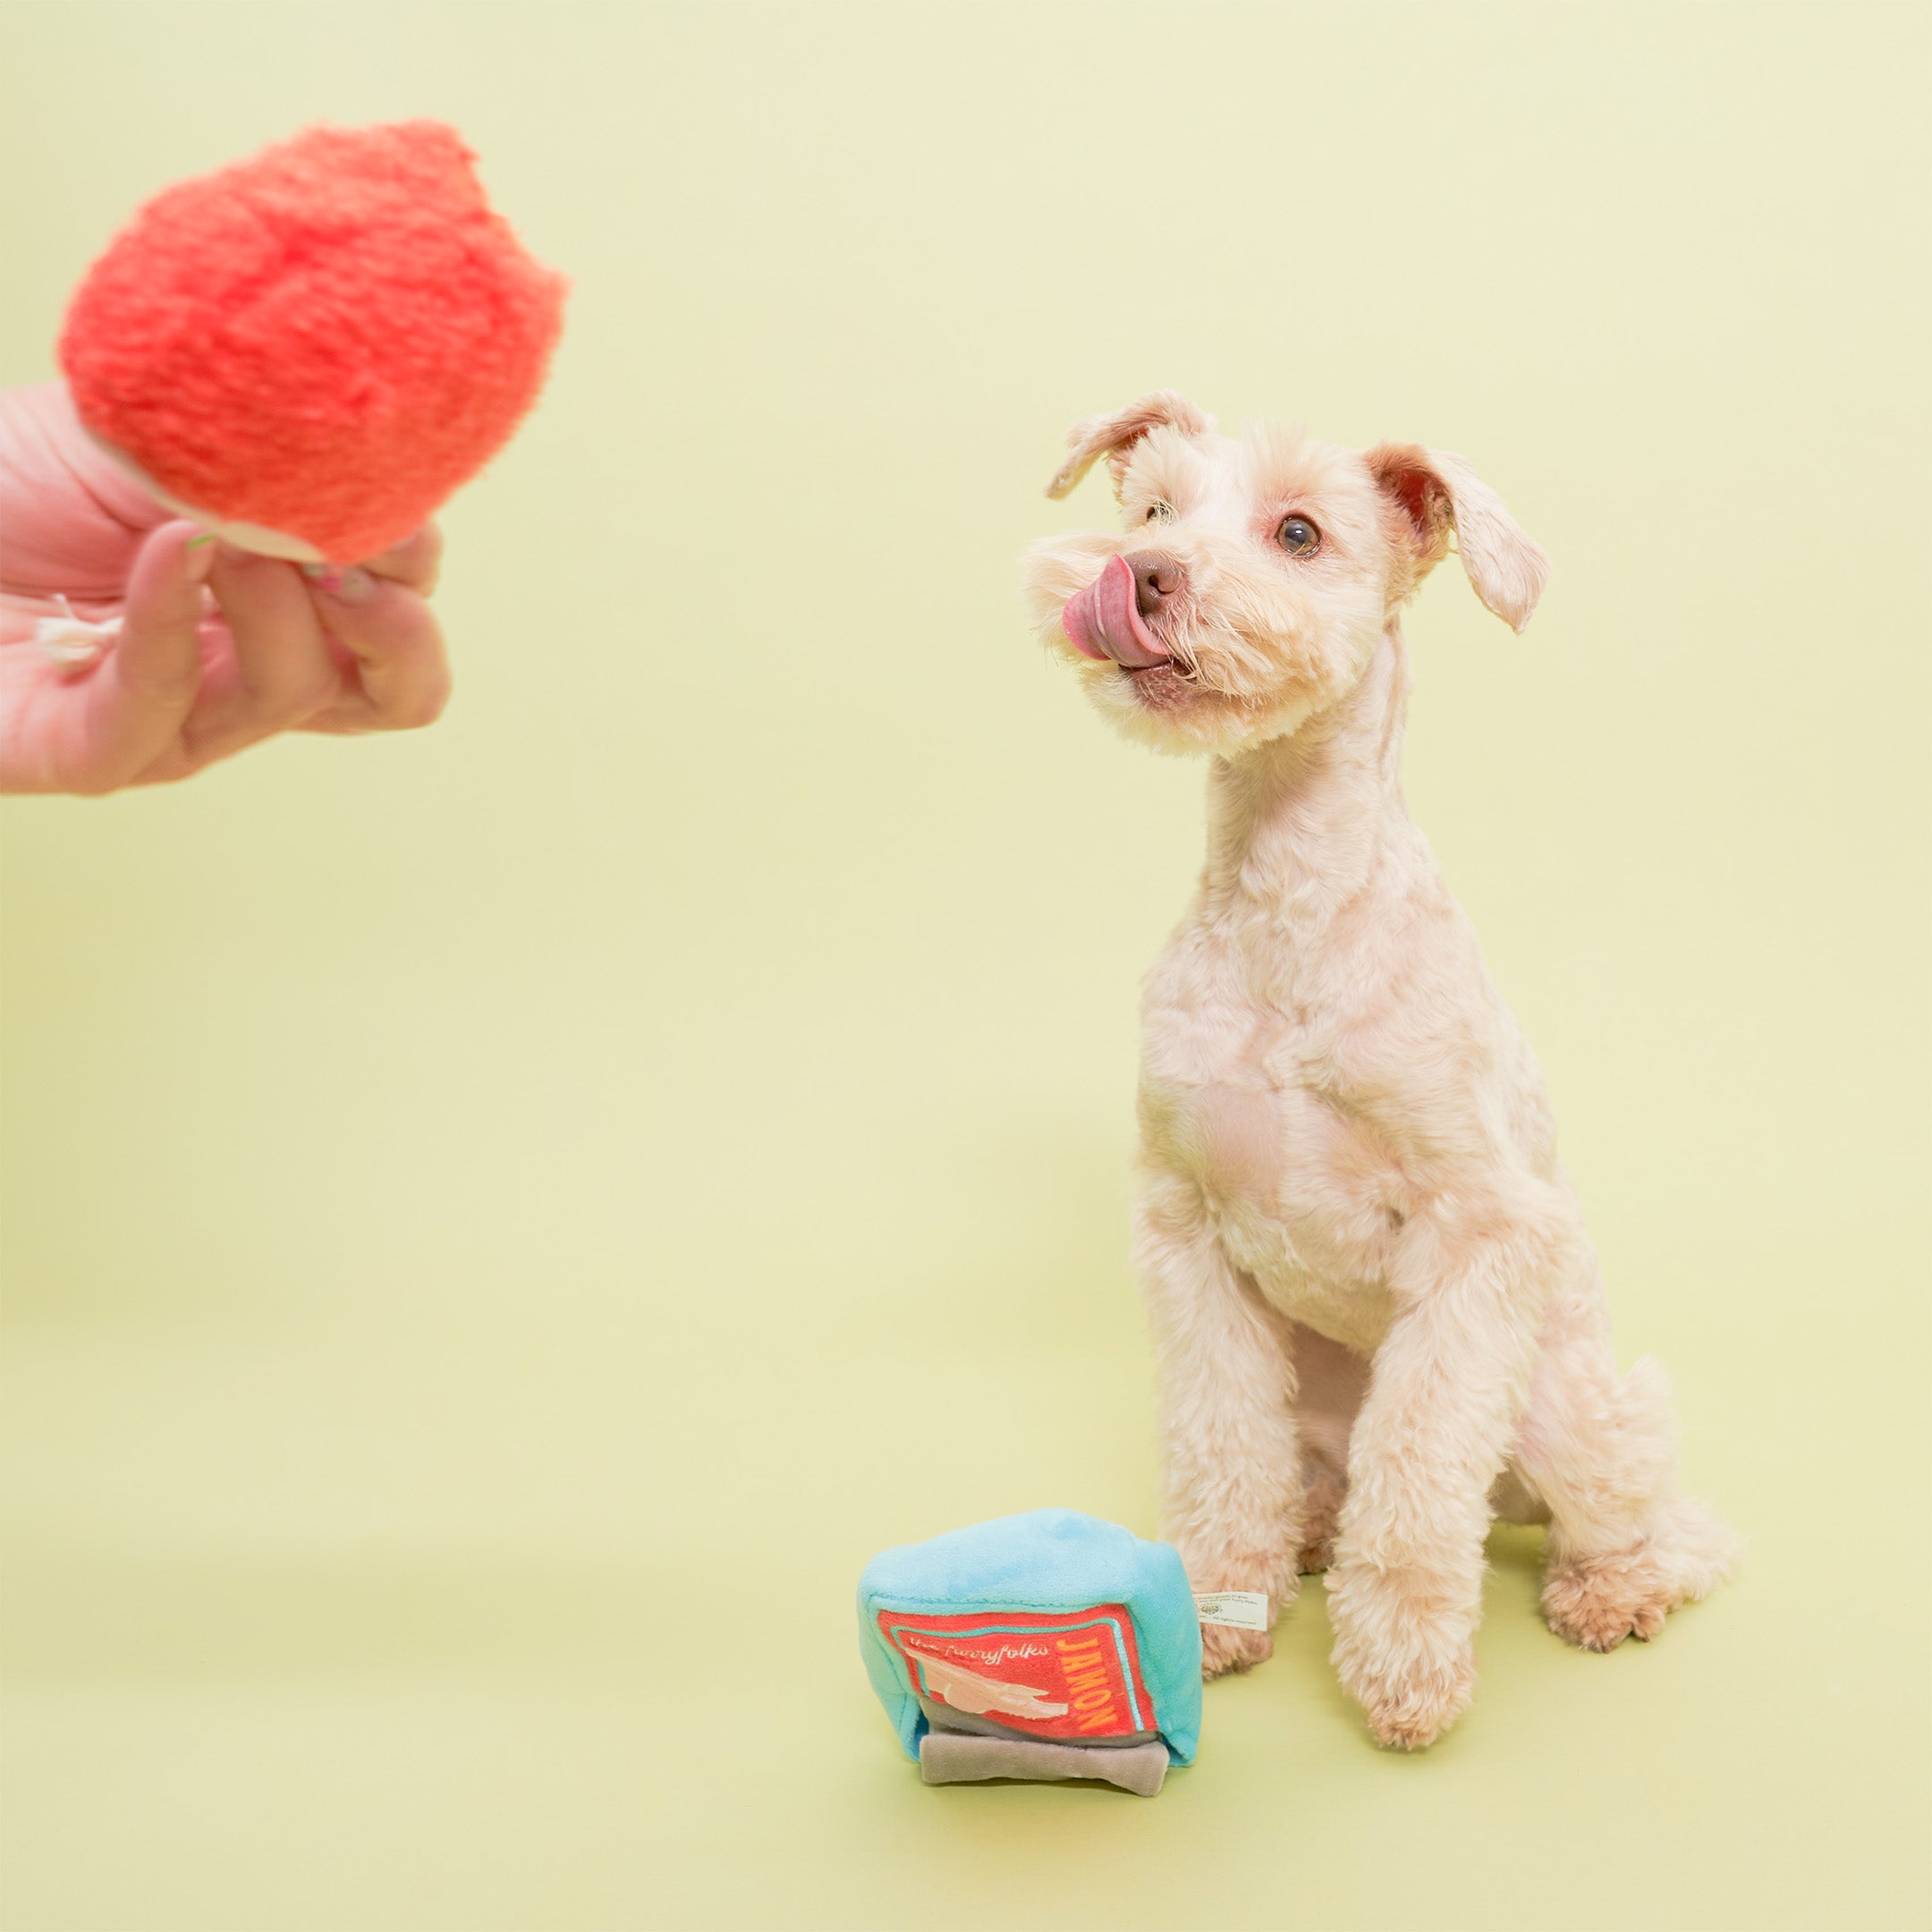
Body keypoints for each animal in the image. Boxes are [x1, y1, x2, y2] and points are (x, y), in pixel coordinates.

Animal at [1028, 395, 1739, 1754]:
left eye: (1299, 531)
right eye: (1152, 509)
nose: (1138, 575)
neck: (1287, 903)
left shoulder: (1479, 1241)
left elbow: (1418, 1480)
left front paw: (1405, 1668)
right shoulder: (1188, 1234)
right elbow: (1217, 1446)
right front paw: (1220, 1605)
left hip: (1562, 1404)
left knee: (1662, 1523)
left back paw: (1609, 1586)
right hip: (1311, 1405)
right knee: (1311, 1478)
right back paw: (1306, 1533)